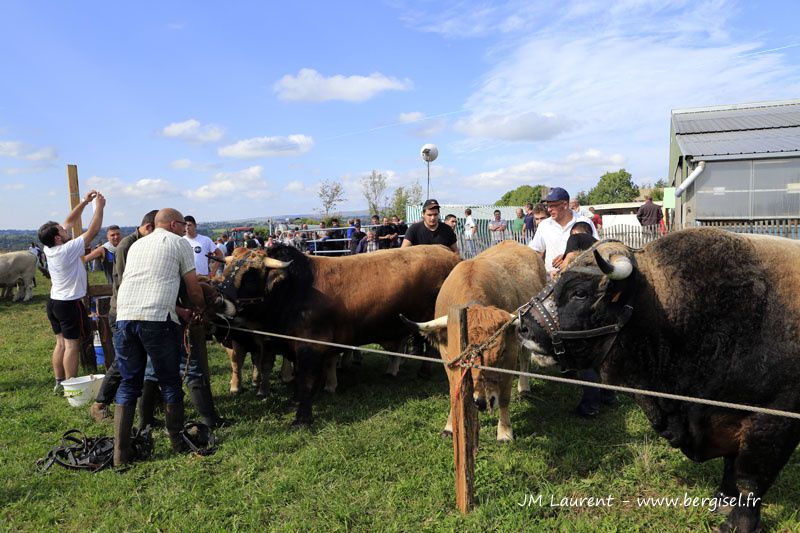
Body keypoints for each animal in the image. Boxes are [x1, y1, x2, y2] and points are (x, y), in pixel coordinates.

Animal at [216, 243, 460, 422]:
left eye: (250, 274)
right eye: (227, 270)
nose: (219, 301)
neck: (294, 289)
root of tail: (448, 253)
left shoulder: (310, 346)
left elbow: (306, 380)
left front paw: (302, 417)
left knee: (429, 347)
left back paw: (424, 371)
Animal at [404, 241, 548, 440]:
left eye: (501, 352)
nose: (482, 402)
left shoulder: (510, 356)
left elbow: (504, 397)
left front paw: (504, 431)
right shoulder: (448, 358)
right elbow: (454, 391)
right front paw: (450, 426)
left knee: (525, 358)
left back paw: (524, 388)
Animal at [516, 229, 800, 532]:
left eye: (580, 292)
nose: (523, 326)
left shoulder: (772, 422)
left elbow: (749, 479)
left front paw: (739, 523)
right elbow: (730, 467)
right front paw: (723, 501)